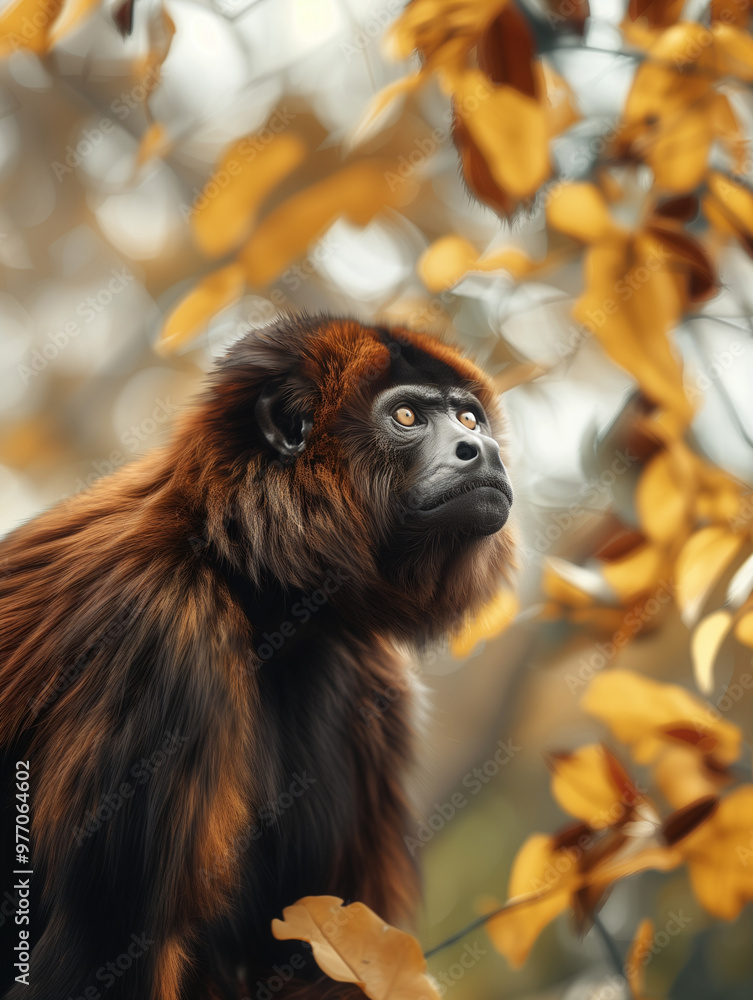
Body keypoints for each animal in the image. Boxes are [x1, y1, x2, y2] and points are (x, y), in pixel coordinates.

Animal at [0, 315, 513, 1000]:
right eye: (406, 415)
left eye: (468, 417)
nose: (481, 449)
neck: (245, 571)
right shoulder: (160, 629)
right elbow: (97, 956)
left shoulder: (359, 671)